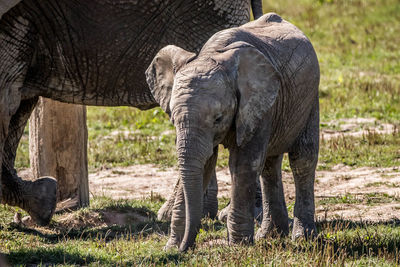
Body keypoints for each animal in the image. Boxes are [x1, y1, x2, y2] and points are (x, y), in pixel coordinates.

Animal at [145, 12, 320, 251]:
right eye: (173, 119)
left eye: (218, 118)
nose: (183, 248)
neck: (211, 55)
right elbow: (204, 163)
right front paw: (172, 248)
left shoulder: (257, 103)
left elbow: (243, 164)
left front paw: (239, 247)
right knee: (269, 165)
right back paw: (270, 235)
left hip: (309, 99)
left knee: (302, 159)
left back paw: (303, 238)